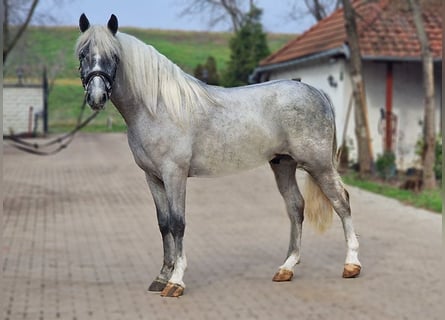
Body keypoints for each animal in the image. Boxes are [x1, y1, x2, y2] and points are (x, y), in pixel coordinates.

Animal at [76, 13, 360, 298]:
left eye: (114, 56)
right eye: (82, 54)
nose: (97, 97)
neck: (157, 107)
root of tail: (317, 92)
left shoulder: (174, 174)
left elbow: (178, 223)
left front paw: (176, 281)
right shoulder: (152, 177)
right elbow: (164, 223)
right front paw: (161, 276)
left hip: (319, 165)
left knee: (342, 202)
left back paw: (351, 265)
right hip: (283, 165)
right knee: (296, 207)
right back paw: (286, 268)